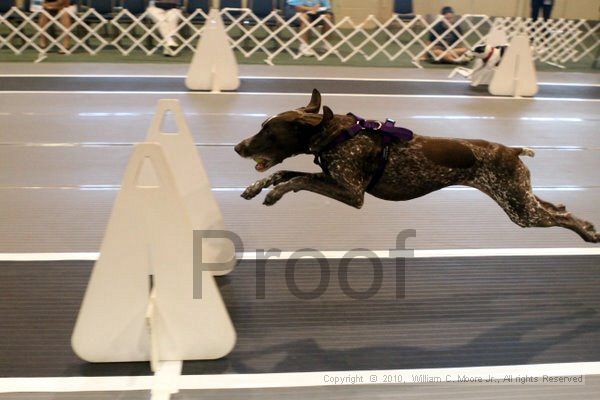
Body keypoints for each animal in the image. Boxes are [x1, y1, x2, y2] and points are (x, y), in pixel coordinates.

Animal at [234, 88, 600, 242]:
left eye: (269, 131)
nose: (238, 147)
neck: (337, 134)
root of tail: (511, 149)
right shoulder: (333, 179)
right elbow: (286, 173)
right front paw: (257, 187)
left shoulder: (352, 193)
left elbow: (297, 180)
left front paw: (274, 193)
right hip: (521, 197)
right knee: (558, 206)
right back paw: (584, 224)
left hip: (520, 210)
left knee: (562, 216)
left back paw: (586, 232)